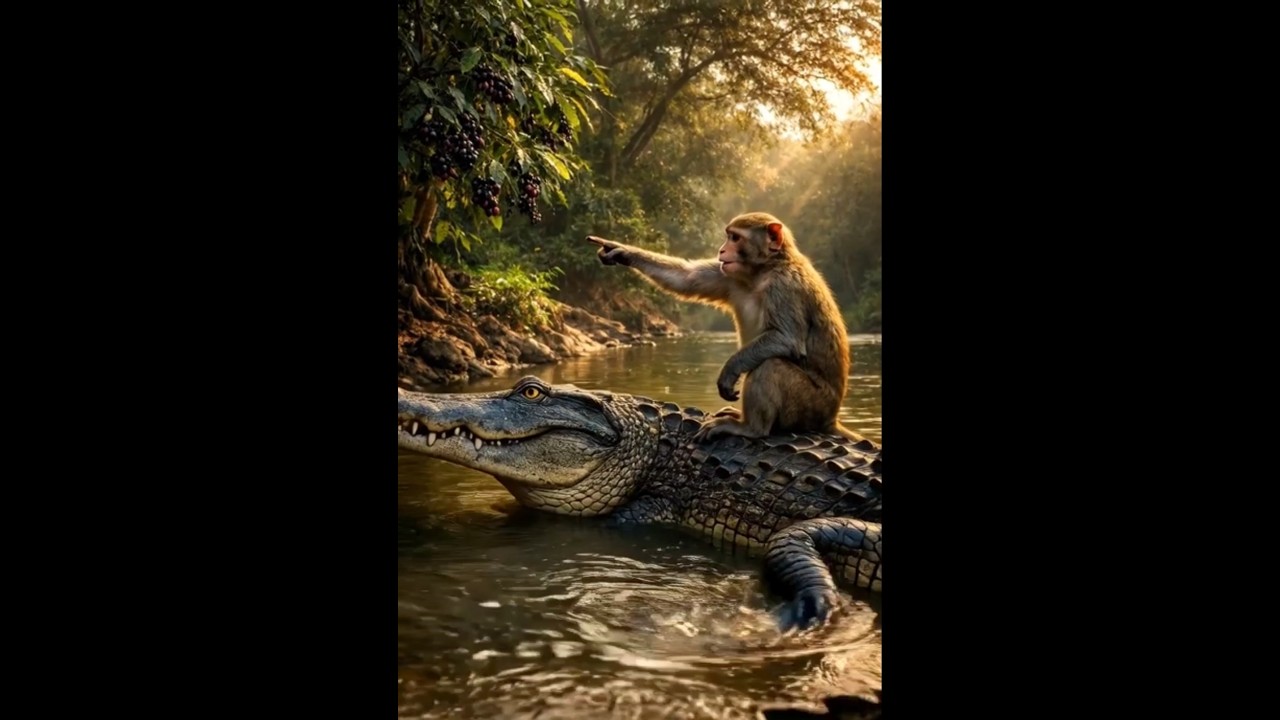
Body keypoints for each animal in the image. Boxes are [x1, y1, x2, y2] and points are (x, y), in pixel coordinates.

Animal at [586, 212, 867, 444]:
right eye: (728, 237)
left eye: (735, 238)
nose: (722, 250)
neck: (764, 269)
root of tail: (831, 418)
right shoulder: (729, 274)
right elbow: (686, 278)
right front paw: (620, 251)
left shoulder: (785, 285)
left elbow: (787, 339)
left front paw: (730, 369)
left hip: (811, 406)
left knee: (771, 365)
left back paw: (751, 428)